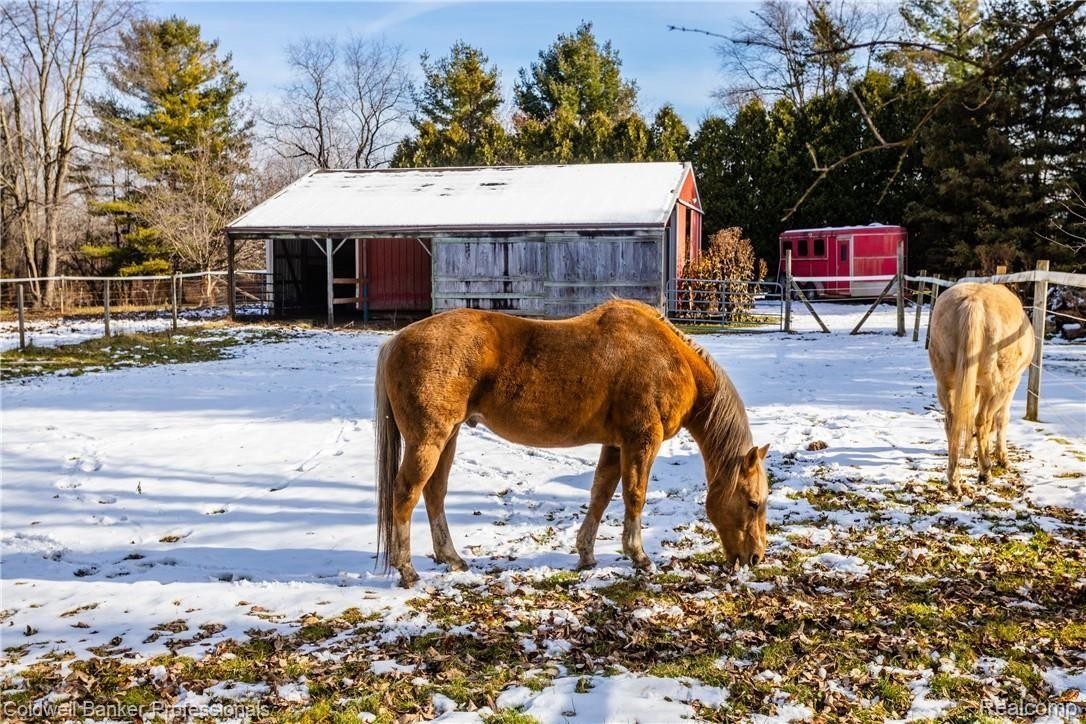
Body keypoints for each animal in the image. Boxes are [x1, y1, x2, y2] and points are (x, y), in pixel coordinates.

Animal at [374, 299, 770, 587]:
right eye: (753, 503)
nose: (756, 558)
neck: (669, 359)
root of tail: (396, 340)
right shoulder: (641, 440)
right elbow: (635, 496)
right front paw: (639, 557)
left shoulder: (615, 445)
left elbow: (600, 495)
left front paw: (586, 554)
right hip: (428, 440)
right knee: (406, 494)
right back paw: (407, 570)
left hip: (449, 436)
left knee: (434, 493)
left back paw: (452, 558)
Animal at [928, 282, 1034, 493]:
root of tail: (973, 301)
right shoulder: (1012, 382)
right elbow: (1001, 419)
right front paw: (1002, 458)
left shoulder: (972, 385)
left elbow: (967, 414)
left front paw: (968, 451)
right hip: (995, 388)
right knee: (982, 421)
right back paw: (985, 470)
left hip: (946, 385)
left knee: (952, 422)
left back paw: (954, 480)